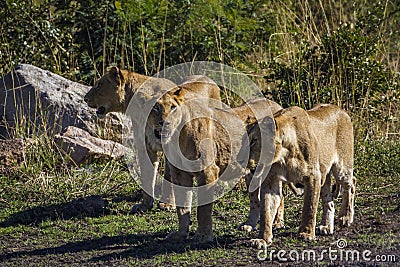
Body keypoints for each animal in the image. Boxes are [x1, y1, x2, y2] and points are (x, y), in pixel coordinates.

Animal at [85, 67, 222, 214]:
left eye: (99, 85)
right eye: (155, 108)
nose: (85, 98)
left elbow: (169, 177)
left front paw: (167, 204)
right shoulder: (145, 147)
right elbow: (147, 176)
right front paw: (145, 205)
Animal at [247, 104, 356, 249]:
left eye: (254, 140)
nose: (241, 160)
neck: (284, 155)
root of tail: (341, 110)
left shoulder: (313, 176)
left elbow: (309, 207)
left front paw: (306, 233)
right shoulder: (271, 180)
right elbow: (266, 210)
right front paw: (262, 239)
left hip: (342, 167)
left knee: (351, 184)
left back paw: (345, 217)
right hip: (325, 176)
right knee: (329, 200)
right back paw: (326, 226)